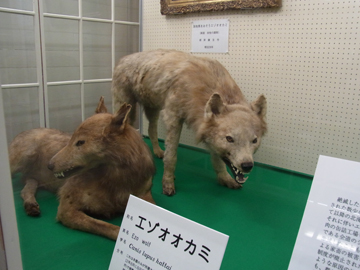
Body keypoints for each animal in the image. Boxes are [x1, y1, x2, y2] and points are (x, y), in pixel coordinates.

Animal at [9, 97, 155, 240]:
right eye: (71, 138)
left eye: (80, 142)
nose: (49, 165)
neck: (117, 179)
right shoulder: (66, 209)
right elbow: (108, 228)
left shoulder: (144, 195)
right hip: (19, 161)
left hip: (32, 177)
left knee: (26, 189)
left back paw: (31, 206)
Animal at [112, 49, 268, 196]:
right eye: (229, 139)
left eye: (254, 140)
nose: (247, 165)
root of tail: (124, 58)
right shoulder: (173, 118)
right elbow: (171, 156)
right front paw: (168, 183)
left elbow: (218, 160)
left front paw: (225, 178)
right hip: (129, 107)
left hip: (153, 108)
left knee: (151, 130)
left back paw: (158, 152)